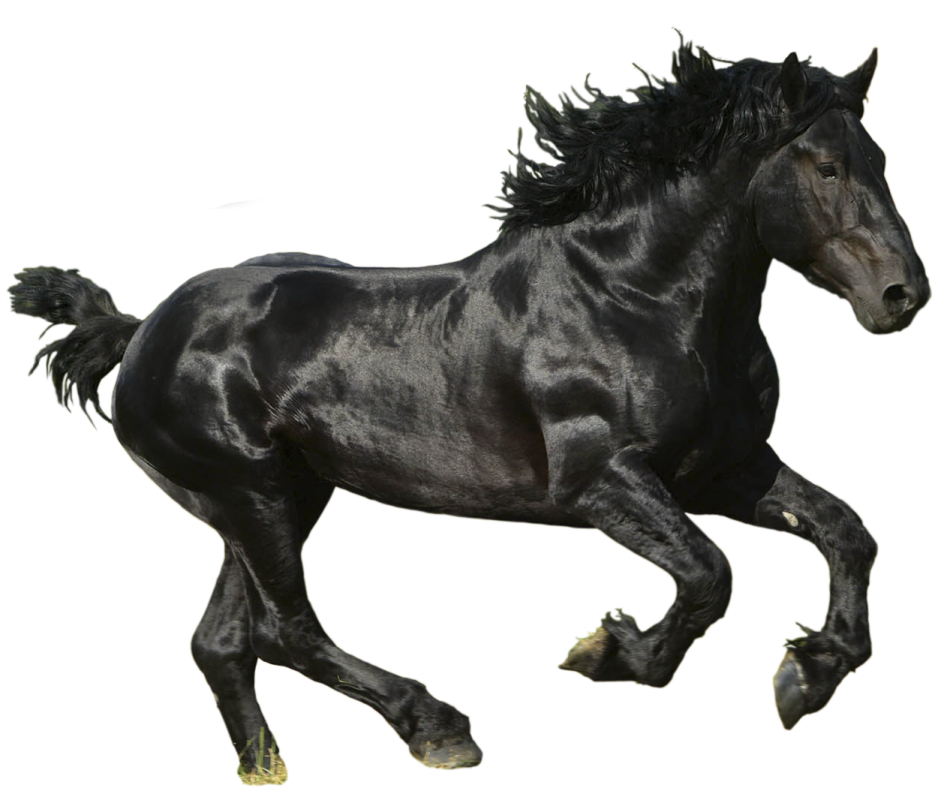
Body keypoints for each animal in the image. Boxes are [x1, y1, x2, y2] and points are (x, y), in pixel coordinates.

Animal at [7, 29, 930, 784]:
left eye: (882, 158)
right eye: (826, 167)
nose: (903, 296)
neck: (635, 296)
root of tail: (140, 332)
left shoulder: (726, 472)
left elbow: (849, 531)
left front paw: (807, 675)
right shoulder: (603, 482)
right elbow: (711, 574)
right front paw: (608, 651)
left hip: (284, 494)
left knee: (225, 641)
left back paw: (268, 769)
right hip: (250, 492)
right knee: (284, 631)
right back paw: (439, 728)